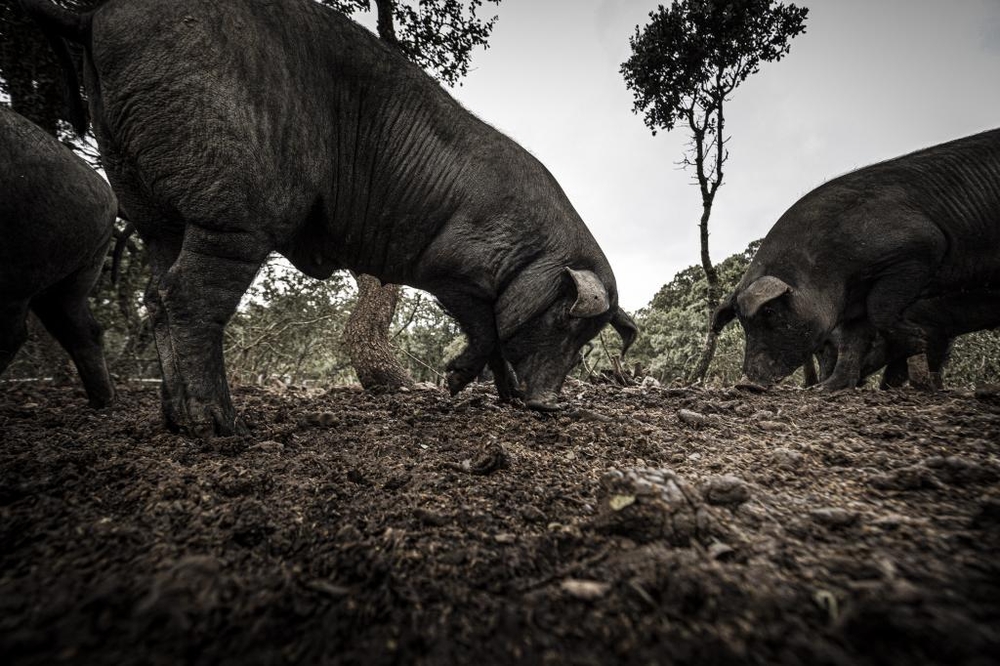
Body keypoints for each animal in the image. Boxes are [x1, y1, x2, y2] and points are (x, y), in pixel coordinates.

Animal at [0, 105, 117, 404]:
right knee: (82, 328)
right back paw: (102, 400)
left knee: (12, 335)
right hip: (73, 277)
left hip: (24, 266)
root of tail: (109, 197)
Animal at [23, 0, 636, 434]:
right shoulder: (453, 267)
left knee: (155, 293)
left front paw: (502, 399)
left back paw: (176, 423)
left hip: (144, 197)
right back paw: (222, 428)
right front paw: (454, 383)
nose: (550, 406)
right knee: (187, 296)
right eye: (566, 322)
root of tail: (93, 16)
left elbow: (498, 343)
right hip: (234, 205)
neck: (530, 256)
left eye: (588, 336)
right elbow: (487, 331)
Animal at [712, 128, 1000, 390]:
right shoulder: (855, 301)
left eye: (770, 312)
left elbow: (880, 310)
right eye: (743, 323)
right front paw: (827, 389)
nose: (745, 384)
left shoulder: (921, 248)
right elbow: (853, 342)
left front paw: (919, 343)